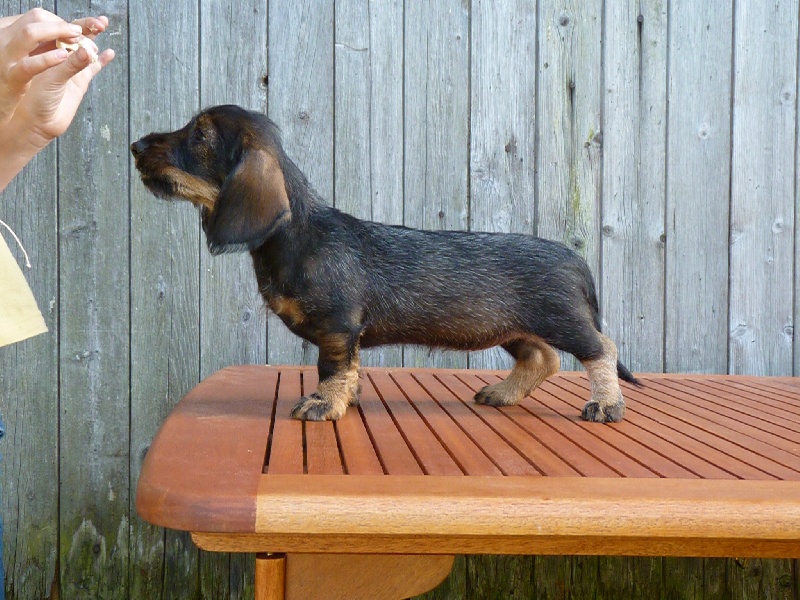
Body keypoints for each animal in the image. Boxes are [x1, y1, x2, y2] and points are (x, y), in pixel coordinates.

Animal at [131, 105, 640, 423]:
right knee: (543, 358)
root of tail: (574, 257)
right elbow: (350, 370)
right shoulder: (345, 333)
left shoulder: (338, 326)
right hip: (515, 328)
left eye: (200, 135)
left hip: (561, 318)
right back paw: (503, 393)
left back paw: (606, 406)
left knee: (601, 349)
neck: (299, 235)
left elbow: (332, 369)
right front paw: (346, 399)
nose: (136, 145)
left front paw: (323, 405)